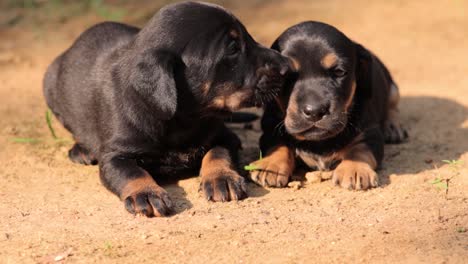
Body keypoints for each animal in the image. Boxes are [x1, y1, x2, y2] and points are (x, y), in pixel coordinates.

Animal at [44, 1, 292, 217]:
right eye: (232, 48)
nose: (287, 66)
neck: (182, 118)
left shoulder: (224, 136)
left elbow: (218, 153)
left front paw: (222, 178)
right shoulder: (114, 156)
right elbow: (131, 172)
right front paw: (145, 193)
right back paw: (82, 149)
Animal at [250, 20, 408, 190]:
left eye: (339, 72)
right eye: (287, 75)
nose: (315, 111)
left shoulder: (370, 132)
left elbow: (360, 148)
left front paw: (355, 168)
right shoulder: (270, 130)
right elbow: (277, 144)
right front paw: (269, 165)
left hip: (392, 87)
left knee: (392, 105)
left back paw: (393, 127)